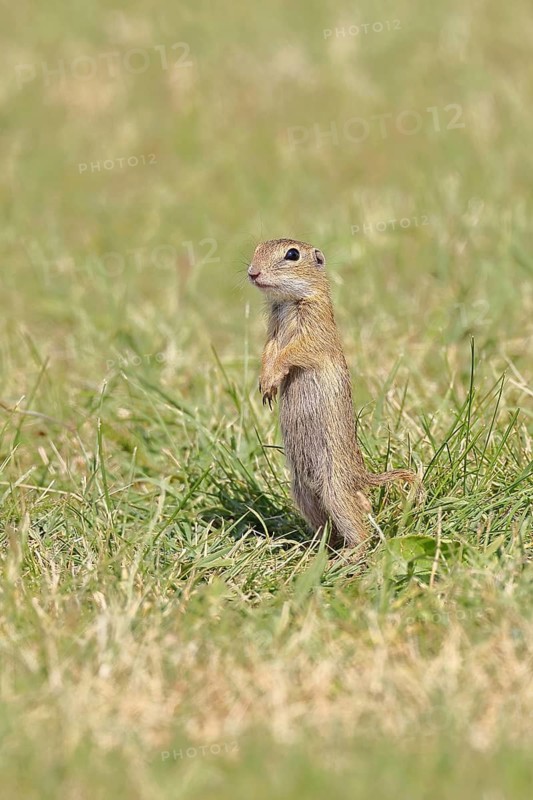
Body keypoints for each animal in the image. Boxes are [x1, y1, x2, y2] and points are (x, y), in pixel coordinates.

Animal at [248, 238, 419, 551]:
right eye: (257, 248)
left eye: (292, 254)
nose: (253, 272)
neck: (288, 302)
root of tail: (361, 479)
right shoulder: (272, 332)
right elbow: (268, 351)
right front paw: (266, 384)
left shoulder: (314, 332)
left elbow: (294, 352)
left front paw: (272, 380)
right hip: (302, 493)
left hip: (335, 490)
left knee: (361, 532)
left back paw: (347, 555)